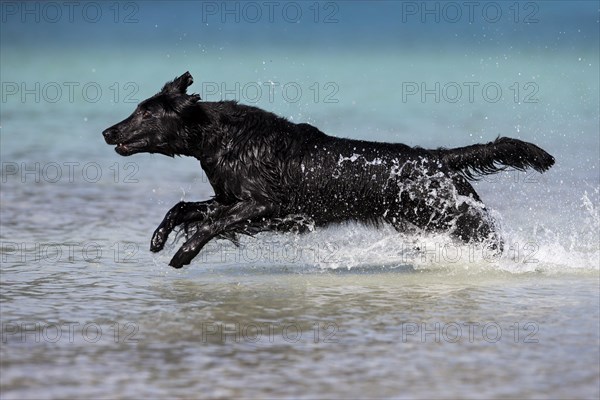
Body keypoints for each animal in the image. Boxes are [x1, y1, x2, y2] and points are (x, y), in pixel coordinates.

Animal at [102, 73, 552, 270]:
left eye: (146, 112)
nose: (108, 131)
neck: (224, 138)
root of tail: (437, 158)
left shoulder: (262, 205)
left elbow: (209, 225)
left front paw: (183, 254)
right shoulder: (227, 198)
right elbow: (182, 209)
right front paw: (159, 239)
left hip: (463, 220)